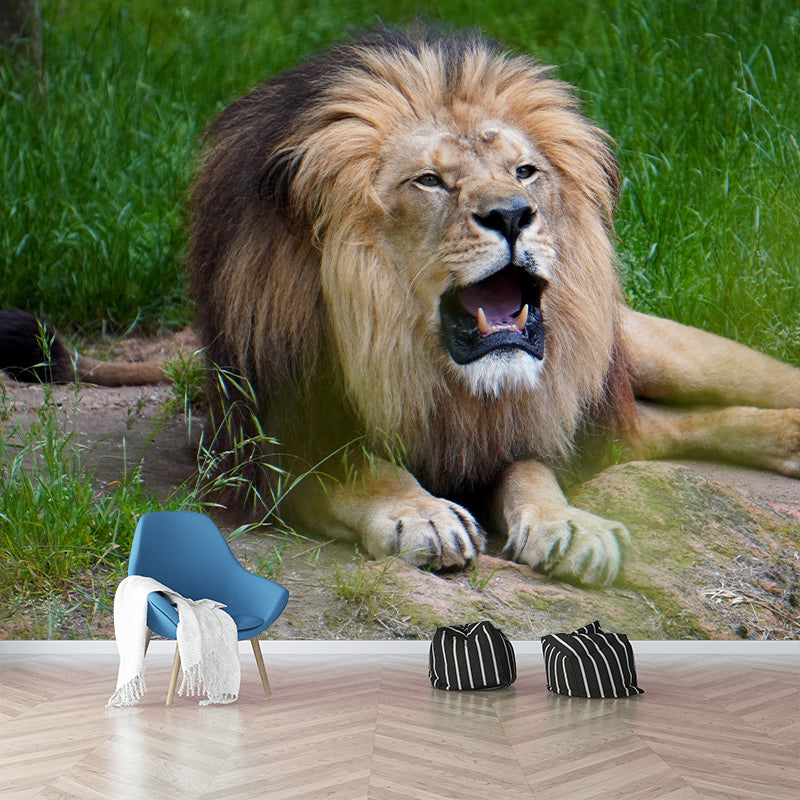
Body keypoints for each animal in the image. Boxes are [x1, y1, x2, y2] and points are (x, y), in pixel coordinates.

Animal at [4, 29, 798, 585]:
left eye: (525, 171)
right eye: (430, 181)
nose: (513, 215)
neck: (423, 365)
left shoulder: (527, 424)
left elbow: (531, 470)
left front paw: (570, 526)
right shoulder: (276, 450)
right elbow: (359, 468)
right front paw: (421, 513)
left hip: (648, 353)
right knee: (663, 431)